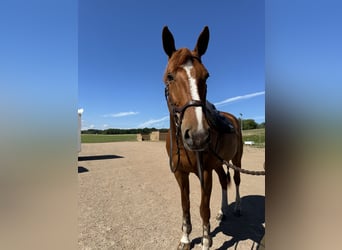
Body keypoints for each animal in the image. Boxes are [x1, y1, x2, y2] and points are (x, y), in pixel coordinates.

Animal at [161, 25, 243, 250]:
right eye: (170, 76)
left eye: (206, 76)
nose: (198, 136)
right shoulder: (180, 174)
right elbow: (186, 205)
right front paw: (185, 239)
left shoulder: (204, 172)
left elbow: (203, 208)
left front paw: (206, 241)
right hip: (219, 164)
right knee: (224, 181)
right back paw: (222, 212)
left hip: (236, 159)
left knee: (236, 180)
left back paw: (237, 208)